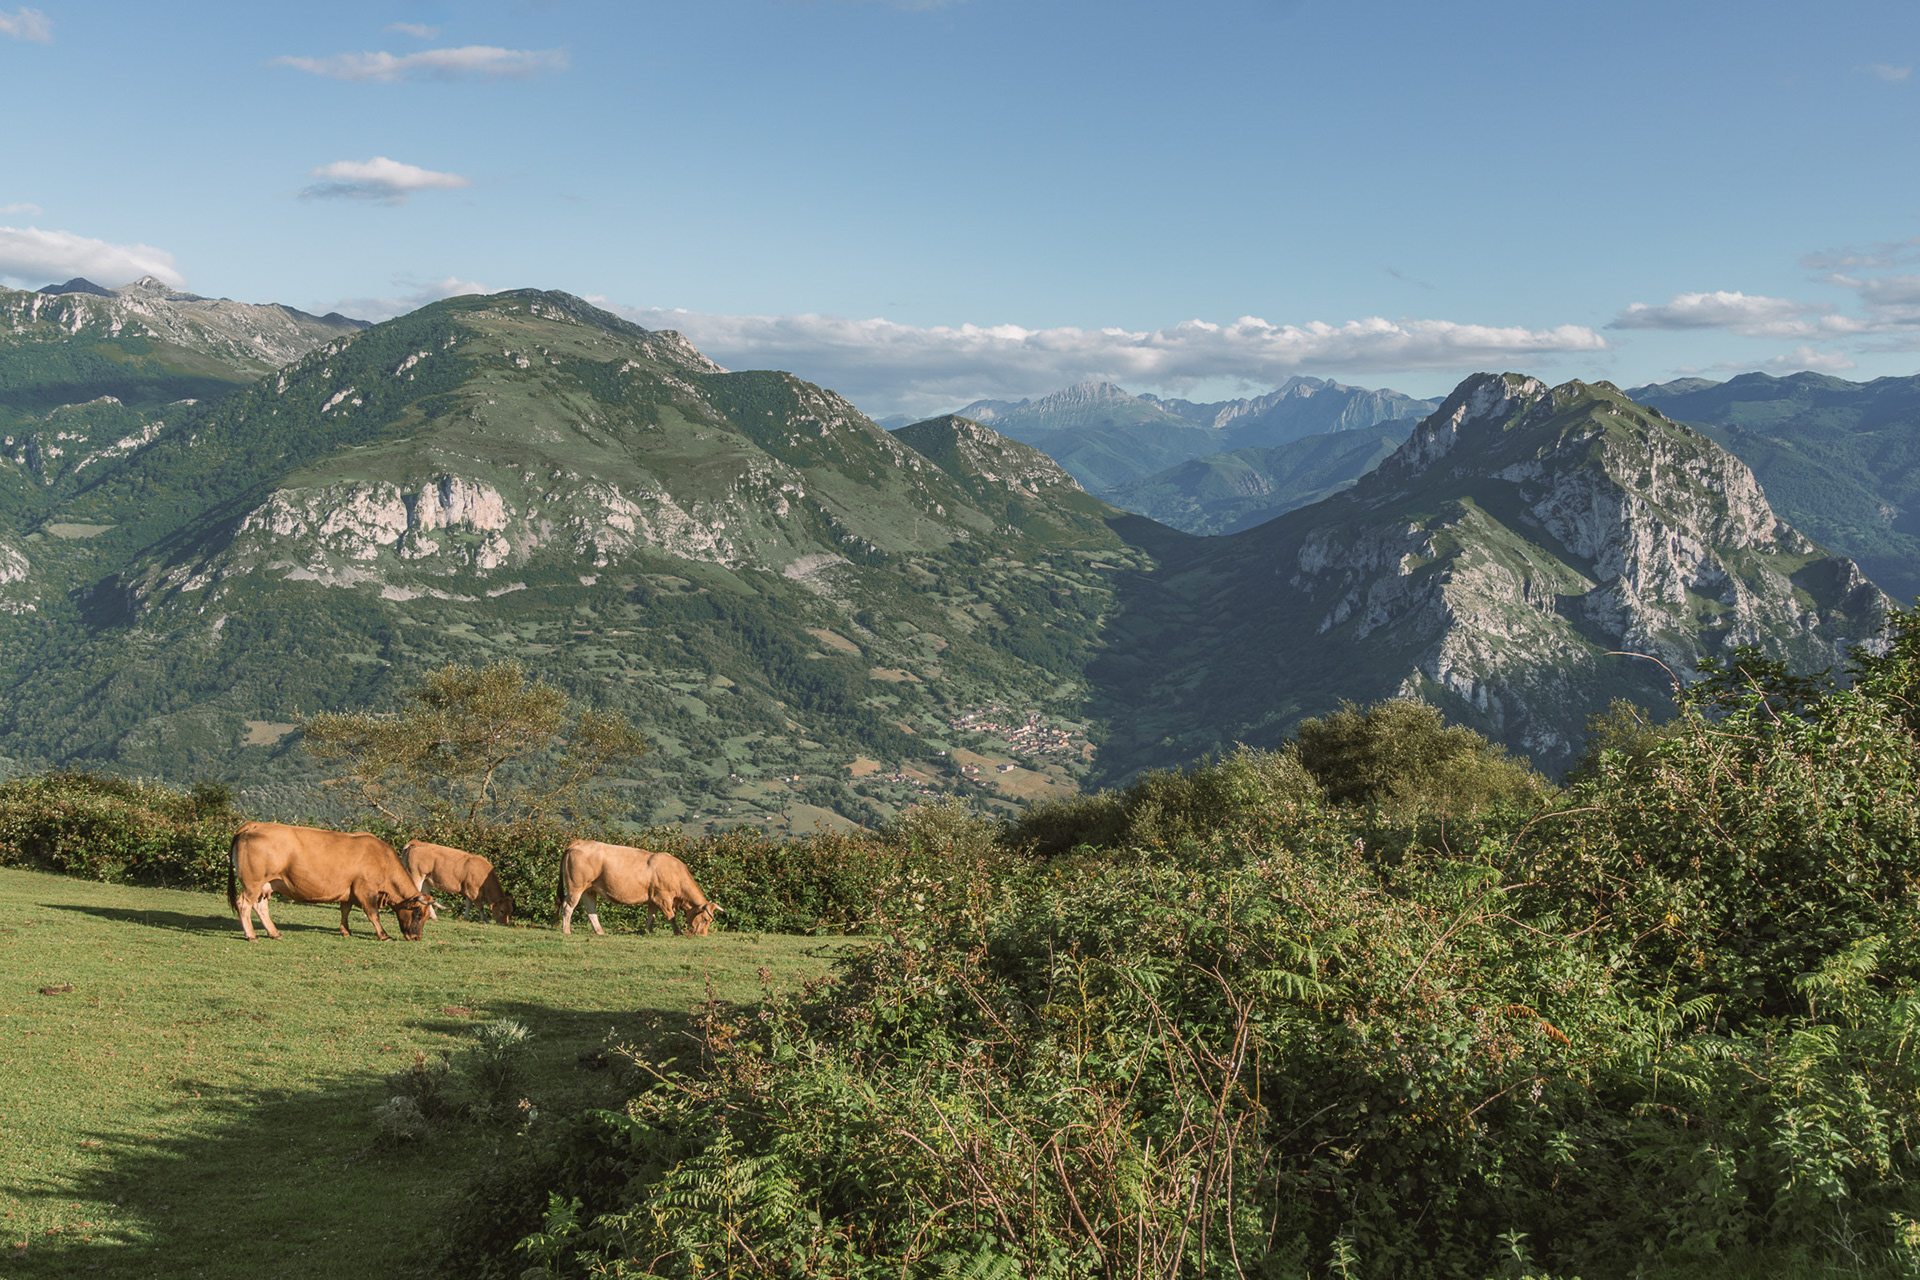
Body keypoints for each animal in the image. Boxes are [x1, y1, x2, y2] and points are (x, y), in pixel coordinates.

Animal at [228, 821, 433, 942]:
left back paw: (274, 933)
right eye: (417, 913)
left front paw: (345, 931)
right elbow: (373, 914)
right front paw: (384, 935)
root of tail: (255, 825)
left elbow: (345, 910)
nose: (416, 937)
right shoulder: (366, 890)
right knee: (244, 904)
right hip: (252, 883)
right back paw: (251, 935)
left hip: (265, 885)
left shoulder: (349, 891)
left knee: (260, 907)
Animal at [556, 840, 720, 936]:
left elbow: (651, 916)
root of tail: (580, 842)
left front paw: (648, 931)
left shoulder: (653, 900)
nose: (702, 935)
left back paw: (600, 931)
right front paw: (678, 932)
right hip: (576, 887)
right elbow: (670, 916)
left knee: (590, 910)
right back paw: (566, 930)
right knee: (568, 906)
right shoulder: (663, 898)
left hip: (590, 889)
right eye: (706, 919)